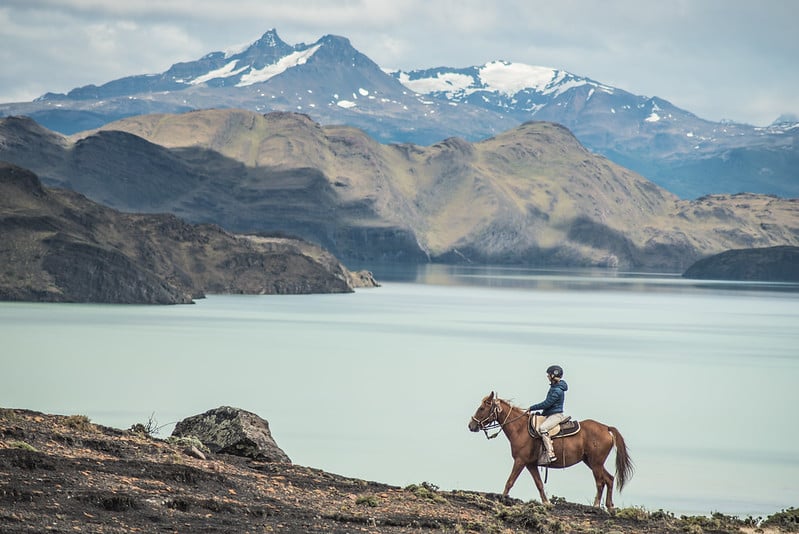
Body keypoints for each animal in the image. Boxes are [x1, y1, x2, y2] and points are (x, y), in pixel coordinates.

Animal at [468, 394, 632, 510]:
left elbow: (510, 481)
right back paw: (610, 507)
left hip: (595, 463)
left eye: (482, 408)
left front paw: (502, 498)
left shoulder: (520, 461)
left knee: (600, 482)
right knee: (609, 479)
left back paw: (597, 506)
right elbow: (539, 484)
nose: (471, 425)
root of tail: (606, 428)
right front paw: (547, 503)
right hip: (592, 462)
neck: (520, 429)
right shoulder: (531, 465)